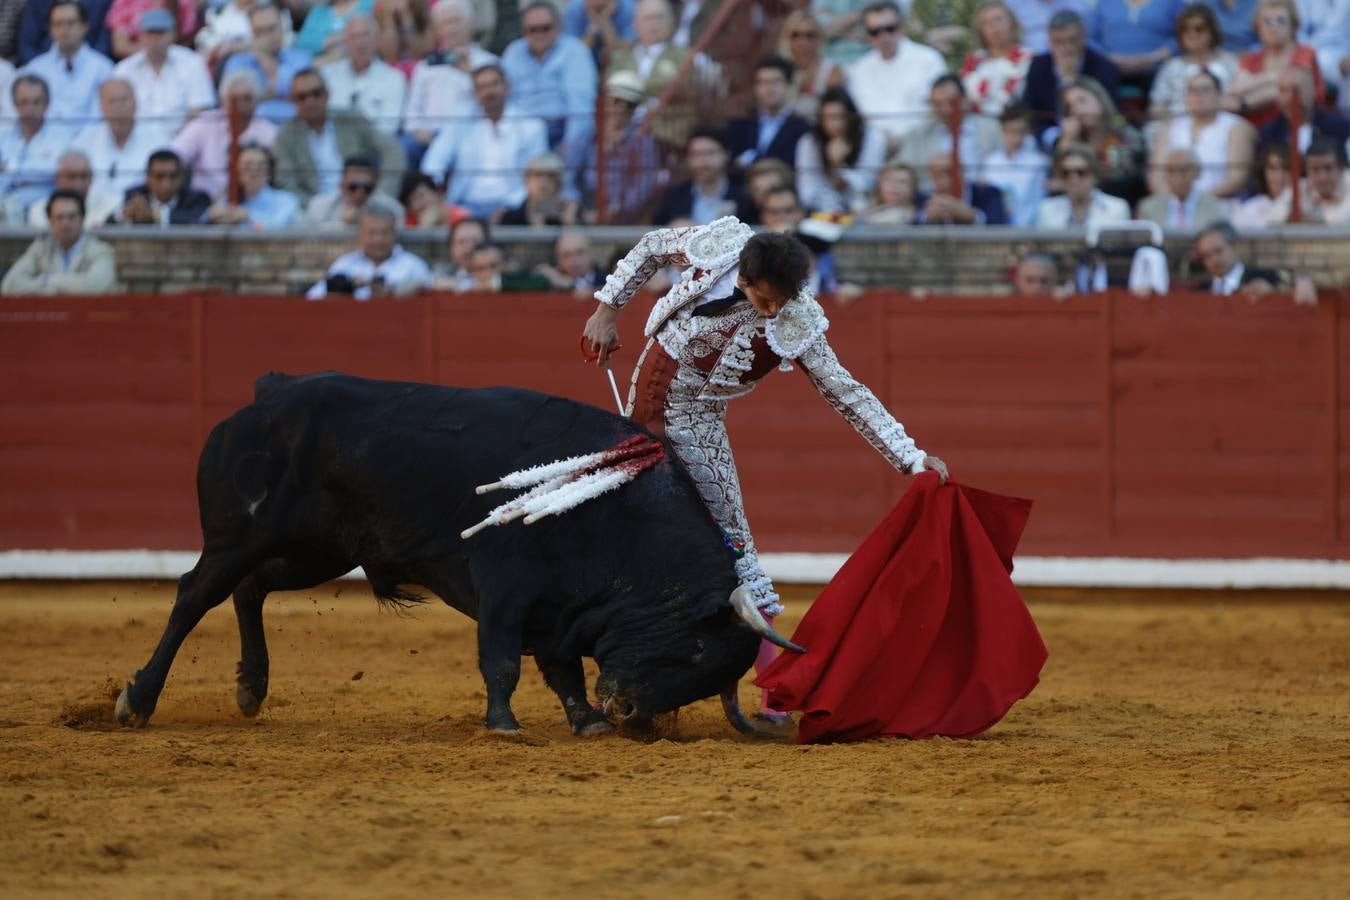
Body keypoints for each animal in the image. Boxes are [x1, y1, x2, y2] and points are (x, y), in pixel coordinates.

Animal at [116, 372, 799, 739]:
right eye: (698, 649)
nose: (628, 711)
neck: (618, 512)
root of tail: (270, 393)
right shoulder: (504, 583)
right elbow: (502, 659)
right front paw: (503, 724)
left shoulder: (562, 606)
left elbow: (561, 669)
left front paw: (586, 719)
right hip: (241, 534)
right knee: (195, 594)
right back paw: (137, 701)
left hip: (320, 551)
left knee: (250, 589)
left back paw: (250, 688)